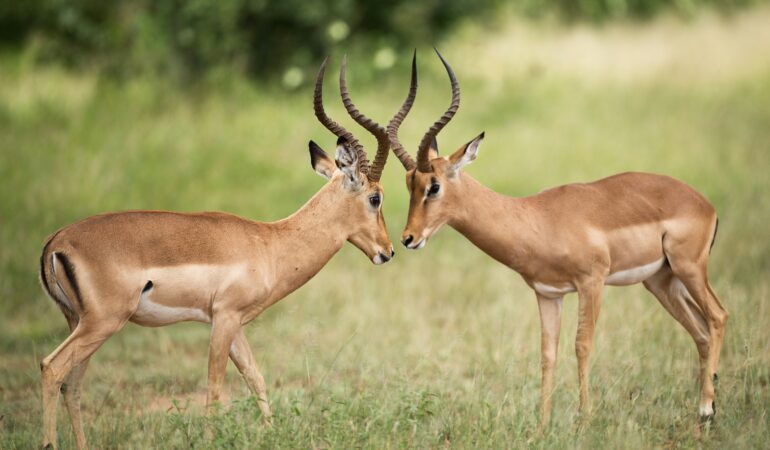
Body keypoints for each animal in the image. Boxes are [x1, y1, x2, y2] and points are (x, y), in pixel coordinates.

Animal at [37, 56, 397, 449]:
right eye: (375, 198)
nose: (388, 250)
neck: (269, 243)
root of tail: (56, 242)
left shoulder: (234, 322)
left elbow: (256, 377)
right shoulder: (224, 318)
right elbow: (214, 387)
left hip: (80, 322)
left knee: (72, 385)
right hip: (103, 322)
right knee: (52, 368)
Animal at [388, 50, 728, 427]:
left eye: (434, 186)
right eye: (409, 184)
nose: (408, 238)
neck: (537, 219)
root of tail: (704, 203)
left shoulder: (591, 282)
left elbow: (582, 345)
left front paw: (585, 419)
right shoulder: (548, 294)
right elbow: (547, 353)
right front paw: (541, 426)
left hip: (688, 267)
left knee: (718, 316)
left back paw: (707, 408)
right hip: (661, 280)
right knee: (700, 330)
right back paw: (705, 411)